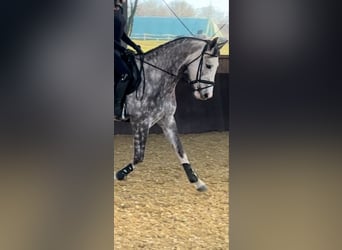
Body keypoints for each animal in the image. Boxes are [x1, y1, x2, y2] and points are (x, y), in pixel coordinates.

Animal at [115, 35, 227, 191]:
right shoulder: (140, 121)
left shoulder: (167, 120)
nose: (207, 95)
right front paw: (119, 174)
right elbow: (139, 157)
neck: (156, 77)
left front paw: (197, 181)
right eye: (208, 65)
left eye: (216, 66)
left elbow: (180, 150)